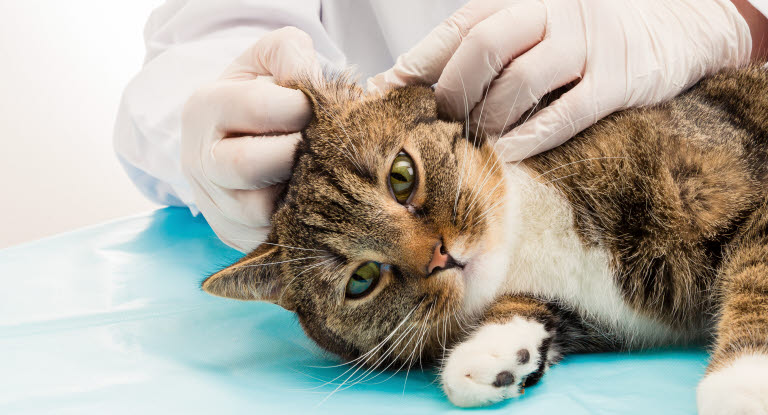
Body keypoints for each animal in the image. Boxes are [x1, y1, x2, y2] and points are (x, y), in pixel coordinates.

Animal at [200, 66, 768, 412]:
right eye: (361, 280)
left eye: (402, 176)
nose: (440, 257)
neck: (528, 234)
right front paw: (494, 352)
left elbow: (756, 280)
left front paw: (742, 382)